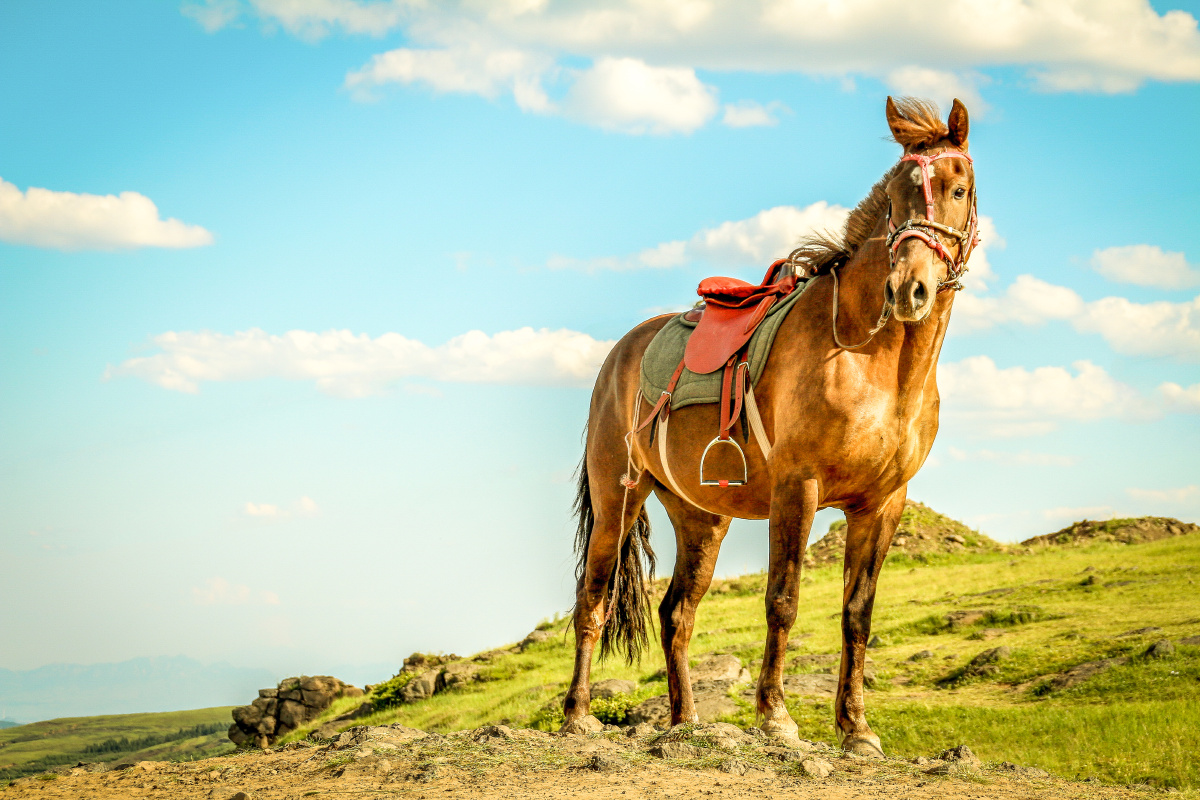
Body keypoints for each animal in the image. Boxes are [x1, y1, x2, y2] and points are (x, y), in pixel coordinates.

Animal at [561, 96, 980, 758]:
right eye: (895, 198)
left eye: (957, 189)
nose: (908, 290)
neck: (873, 360)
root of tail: (620, 354)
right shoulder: (797, 489)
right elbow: (783, 600)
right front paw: (775, 716)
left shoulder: (883, 503)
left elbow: (857, 613)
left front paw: (856, 729)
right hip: (617, 500)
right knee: (592, 599)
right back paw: (577, 715)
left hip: (702, 518)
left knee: (677, 614)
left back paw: (685, 722)